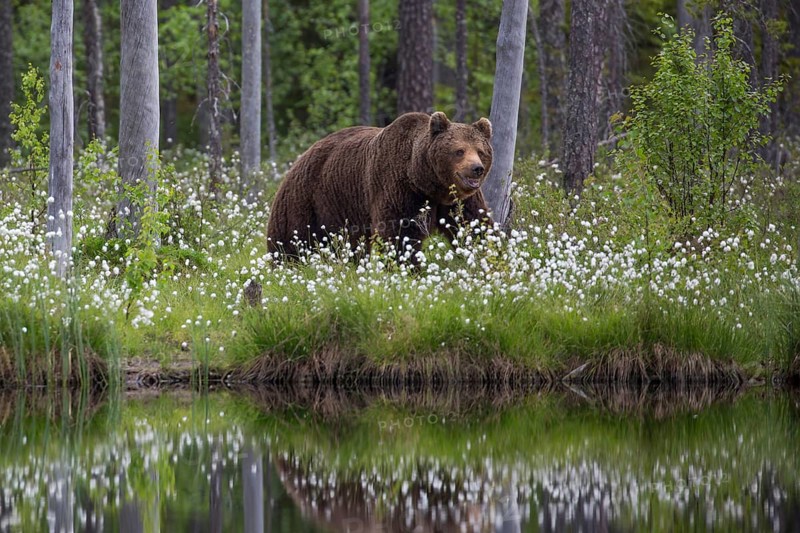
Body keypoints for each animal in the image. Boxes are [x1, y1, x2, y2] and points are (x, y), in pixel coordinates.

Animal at [266, 111, 493, 261]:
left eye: (480, 151)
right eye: (459, 150)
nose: (476, 168)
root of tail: (298, 160)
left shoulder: (459, 200)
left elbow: (475, 225)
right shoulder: (398, 188)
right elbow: (400, 233)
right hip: (306, 201)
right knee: (290, 240)